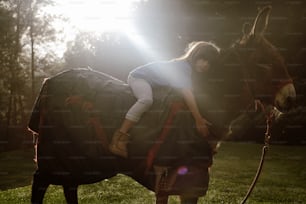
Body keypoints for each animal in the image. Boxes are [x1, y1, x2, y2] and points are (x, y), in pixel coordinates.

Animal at [28, 5, 294, 204]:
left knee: (69, 187)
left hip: (80, 162)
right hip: (56, 158)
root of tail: (48, 82)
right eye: (262, 62)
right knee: (40, 183)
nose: (290, 98)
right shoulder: (175, 178)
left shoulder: (188, 181)